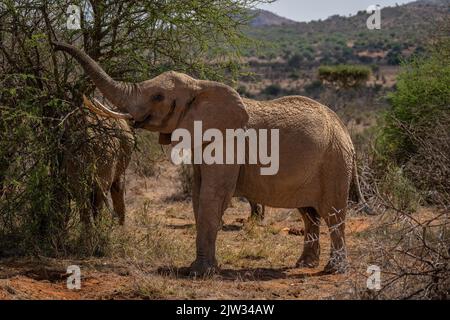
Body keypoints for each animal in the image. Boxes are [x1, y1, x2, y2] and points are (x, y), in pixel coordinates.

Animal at [54, 41, 368, 274]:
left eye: (158, 97)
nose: (56, 45)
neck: (200, 85)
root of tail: (345, 129)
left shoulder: (228, 144)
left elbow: (212, 196)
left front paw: (199, 272)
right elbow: (198, 195)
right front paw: (204, 267)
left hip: (335, 162)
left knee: (333, 213)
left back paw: (333, 270)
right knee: (309, 213)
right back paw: (303, 265)